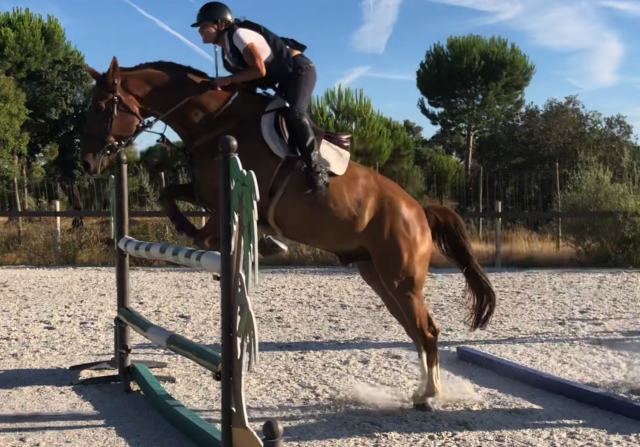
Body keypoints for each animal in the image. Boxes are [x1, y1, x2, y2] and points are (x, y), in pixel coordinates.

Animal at [80, 56, 496, 410]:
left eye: (100, 107)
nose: (89, 162)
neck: (214, 122)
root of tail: (420, 211)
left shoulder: (233, 198)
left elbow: (207, 238)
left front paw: (257, 246)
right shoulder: (204, 193)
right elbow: (168, 195)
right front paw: (189, 227)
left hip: (401, 279)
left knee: (428, 330)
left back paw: (429, 395)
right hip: (378, 277)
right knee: (415, 331)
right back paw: (419, 392)